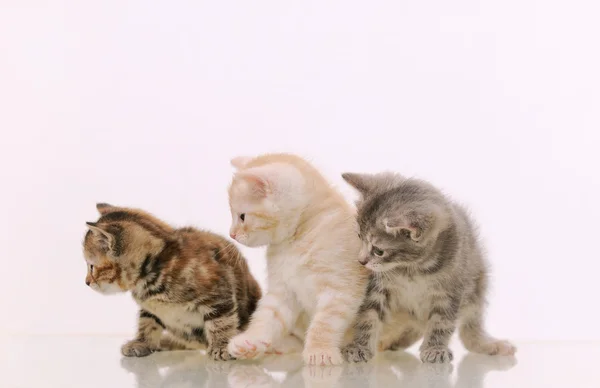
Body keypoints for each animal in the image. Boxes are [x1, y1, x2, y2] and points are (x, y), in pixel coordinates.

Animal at [82, 203, 260, 360]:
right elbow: (147, 322)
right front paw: (142, 343)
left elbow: (221, 322)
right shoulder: (150, 308)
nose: (86, 282)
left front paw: (221, 346)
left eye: (91, 266)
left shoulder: (219, 293)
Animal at [224, 153, 368, 366]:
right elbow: (267, 317)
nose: (231, 234)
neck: (298, 238)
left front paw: (320, 351)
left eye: (242, 216)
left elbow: (325, 322)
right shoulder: (282, 291)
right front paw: (251, 340)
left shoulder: (341, 289)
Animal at [338, 173, 516, 364]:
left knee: (470, 328)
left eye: (379, 251)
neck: (413, 269)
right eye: (359, 237)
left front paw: (435, 349)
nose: (361, 261)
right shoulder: (377, 287)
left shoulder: (450, 291)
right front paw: (359, 346)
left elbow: (441, 322)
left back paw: (489, 345)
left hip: (477, 286)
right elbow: (368, 316)